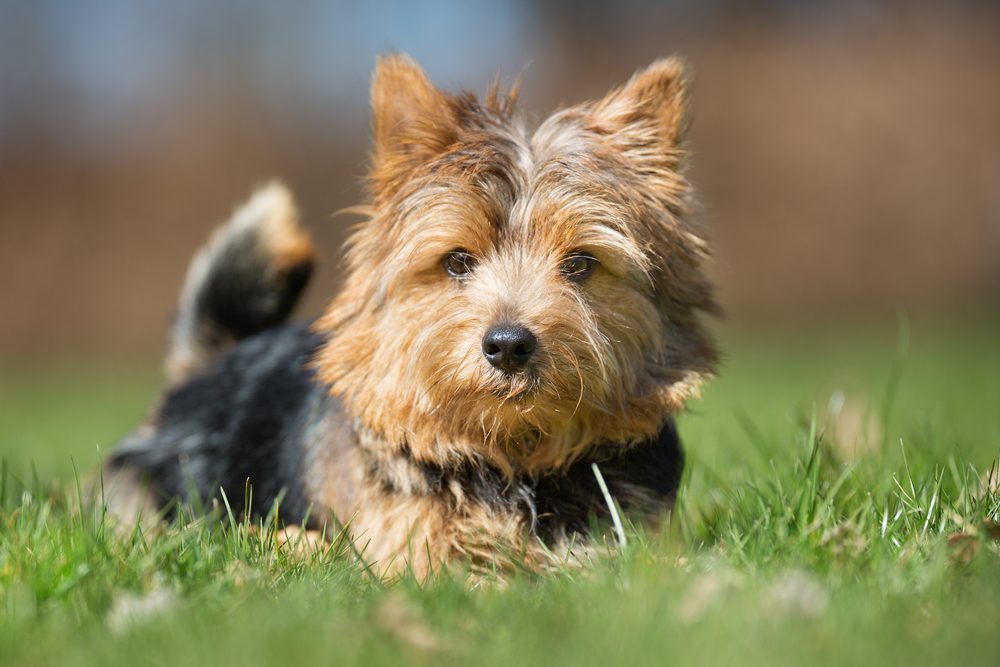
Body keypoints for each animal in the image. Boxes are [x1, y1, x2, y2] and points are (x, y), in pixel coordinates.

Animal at [103, 54, 720, 576]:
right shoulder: (405, 539)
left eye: (580, 263)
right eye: (456, 261)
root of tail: (213, 365)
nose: (508, 344)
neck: (515, 459)